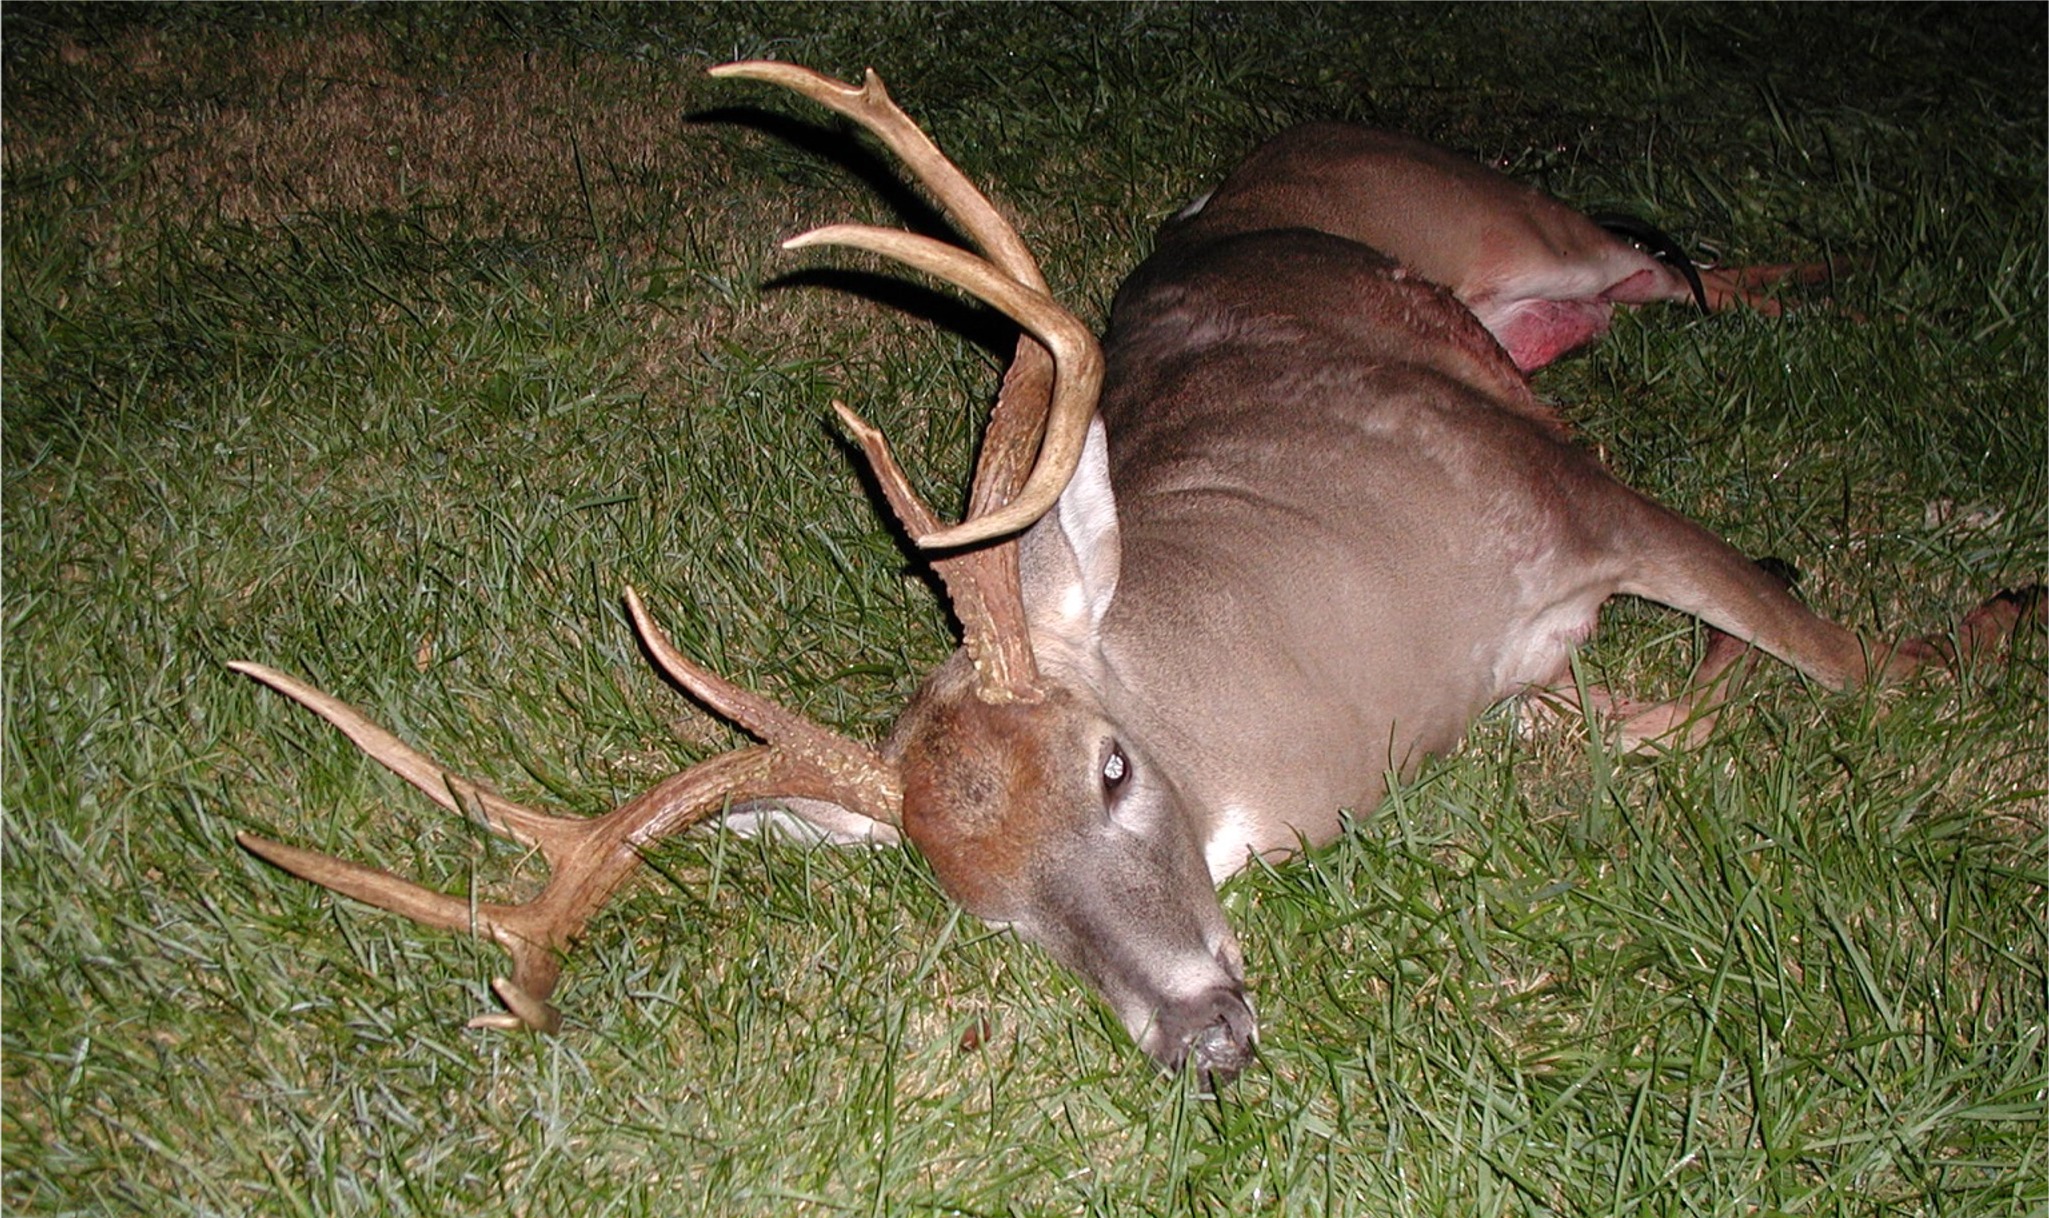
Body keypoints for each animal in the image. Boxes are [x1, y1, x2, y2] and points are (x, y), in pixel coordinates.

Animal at [231, 62, 2040, 1084]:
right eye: (985, 910)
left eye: (1112, 766)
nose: (1199, 1041)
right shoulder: (1536, 671)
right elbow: (1680, 713)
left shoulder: (1561, 489)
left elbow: (1846, 661)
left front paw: (1988, 609)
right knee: (1671, 279)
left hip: (1509, 219)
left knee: (1679, 257)